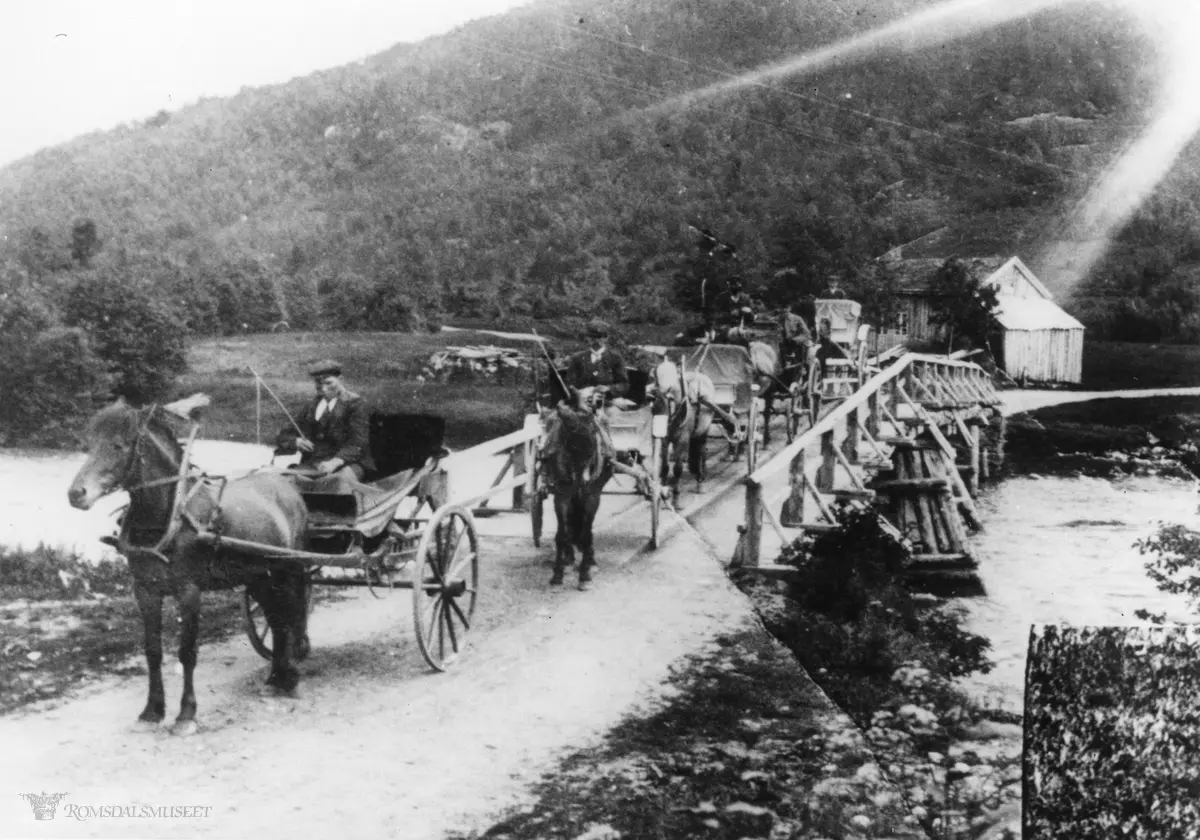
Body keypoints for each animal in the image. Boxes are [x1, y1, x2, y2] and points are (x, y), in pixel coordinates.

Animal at [66, 396, 312, 729]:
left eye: (117, 445)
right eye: (88, 445)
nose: (76, 494)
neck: (172, 516)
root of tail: (287, 485)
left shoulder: (189, 591)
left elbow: (187, 653)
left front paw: (186, 714)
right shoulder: (145, 591)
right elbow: (153, 651)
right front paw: (152, 710)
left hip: (288, 570)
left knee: (290, 619)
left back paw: (290, 676)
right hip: (260, 576)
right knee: (276, 621)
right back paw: (277, 678)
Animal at [540, 400, 614, 590]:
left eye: (594, 446)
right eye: (571, 445)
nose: (583, 482)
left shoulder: (592, 496)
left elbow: (586, 534)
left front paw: (584, 575)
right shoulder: (562, 495)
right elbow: (562, 535)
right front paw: (557, 575)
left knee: (585, 530)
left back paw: (590, 561)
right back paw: (569, 558)